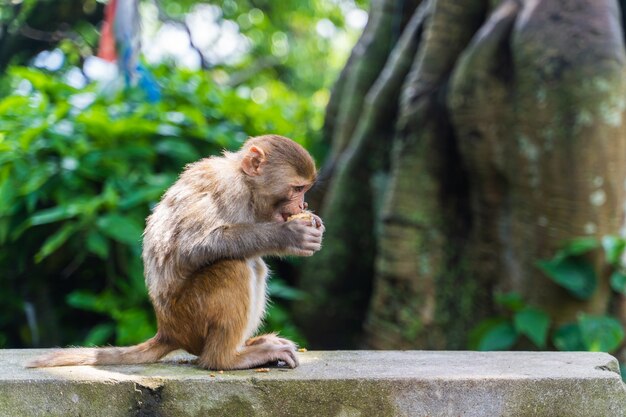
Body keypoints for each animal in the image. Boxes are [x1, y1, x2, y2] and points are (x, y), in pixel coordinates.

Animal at [26, 135, 324, 368]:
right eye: (297, 188)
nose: (303, 204)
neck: (248, 188)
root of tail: (168, 331)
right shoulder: (229, 189)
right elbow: (194, 247)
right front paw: (289, 235)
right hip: (190, 317)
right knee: (233, 265)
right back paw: (226, 359)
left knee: (255, 265)